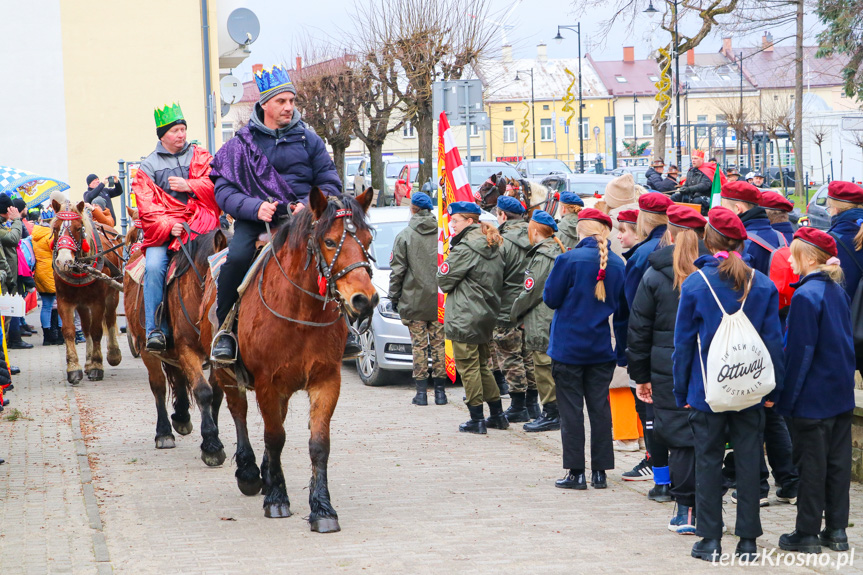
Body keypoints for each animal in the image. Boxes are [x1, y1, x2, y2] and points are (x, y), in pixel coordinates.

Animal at [51, 200, 123, 384]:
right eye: (55, 228)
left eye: (78, 228)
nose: (63, 261)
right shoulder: (64, 301)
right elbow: (69, 331)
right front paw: (74, 368)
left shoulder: (98, 301)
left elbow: (97, 330)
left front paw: (97, 366)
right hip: (82, 304)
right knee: (85, 327)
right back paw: (88, 361)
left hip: (113, 293)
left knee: (110, 318)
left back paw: (113, 354)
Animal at [123, 214, 230, 466]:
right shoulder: (187, 349)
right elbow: (203, 391)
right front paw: (212, 445)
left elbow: (216, 394)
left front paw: (212, 436)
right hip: (148, 350)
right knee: (159, 386)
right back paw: (164, 433)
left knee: (179, 379)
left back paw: (181, 416)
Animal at [204, 187, 380, 532]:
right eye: (329, 241)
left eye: (367, 239)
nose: (364, 300)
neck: (300, 314)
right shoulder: (267, 384)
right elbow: (274, 437)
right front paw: (276, 498)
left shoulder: (327, 380)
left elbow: (318, 444)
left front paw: (323, 509)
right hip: (228, 376)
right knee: (240, 413)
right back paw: (249, 473)